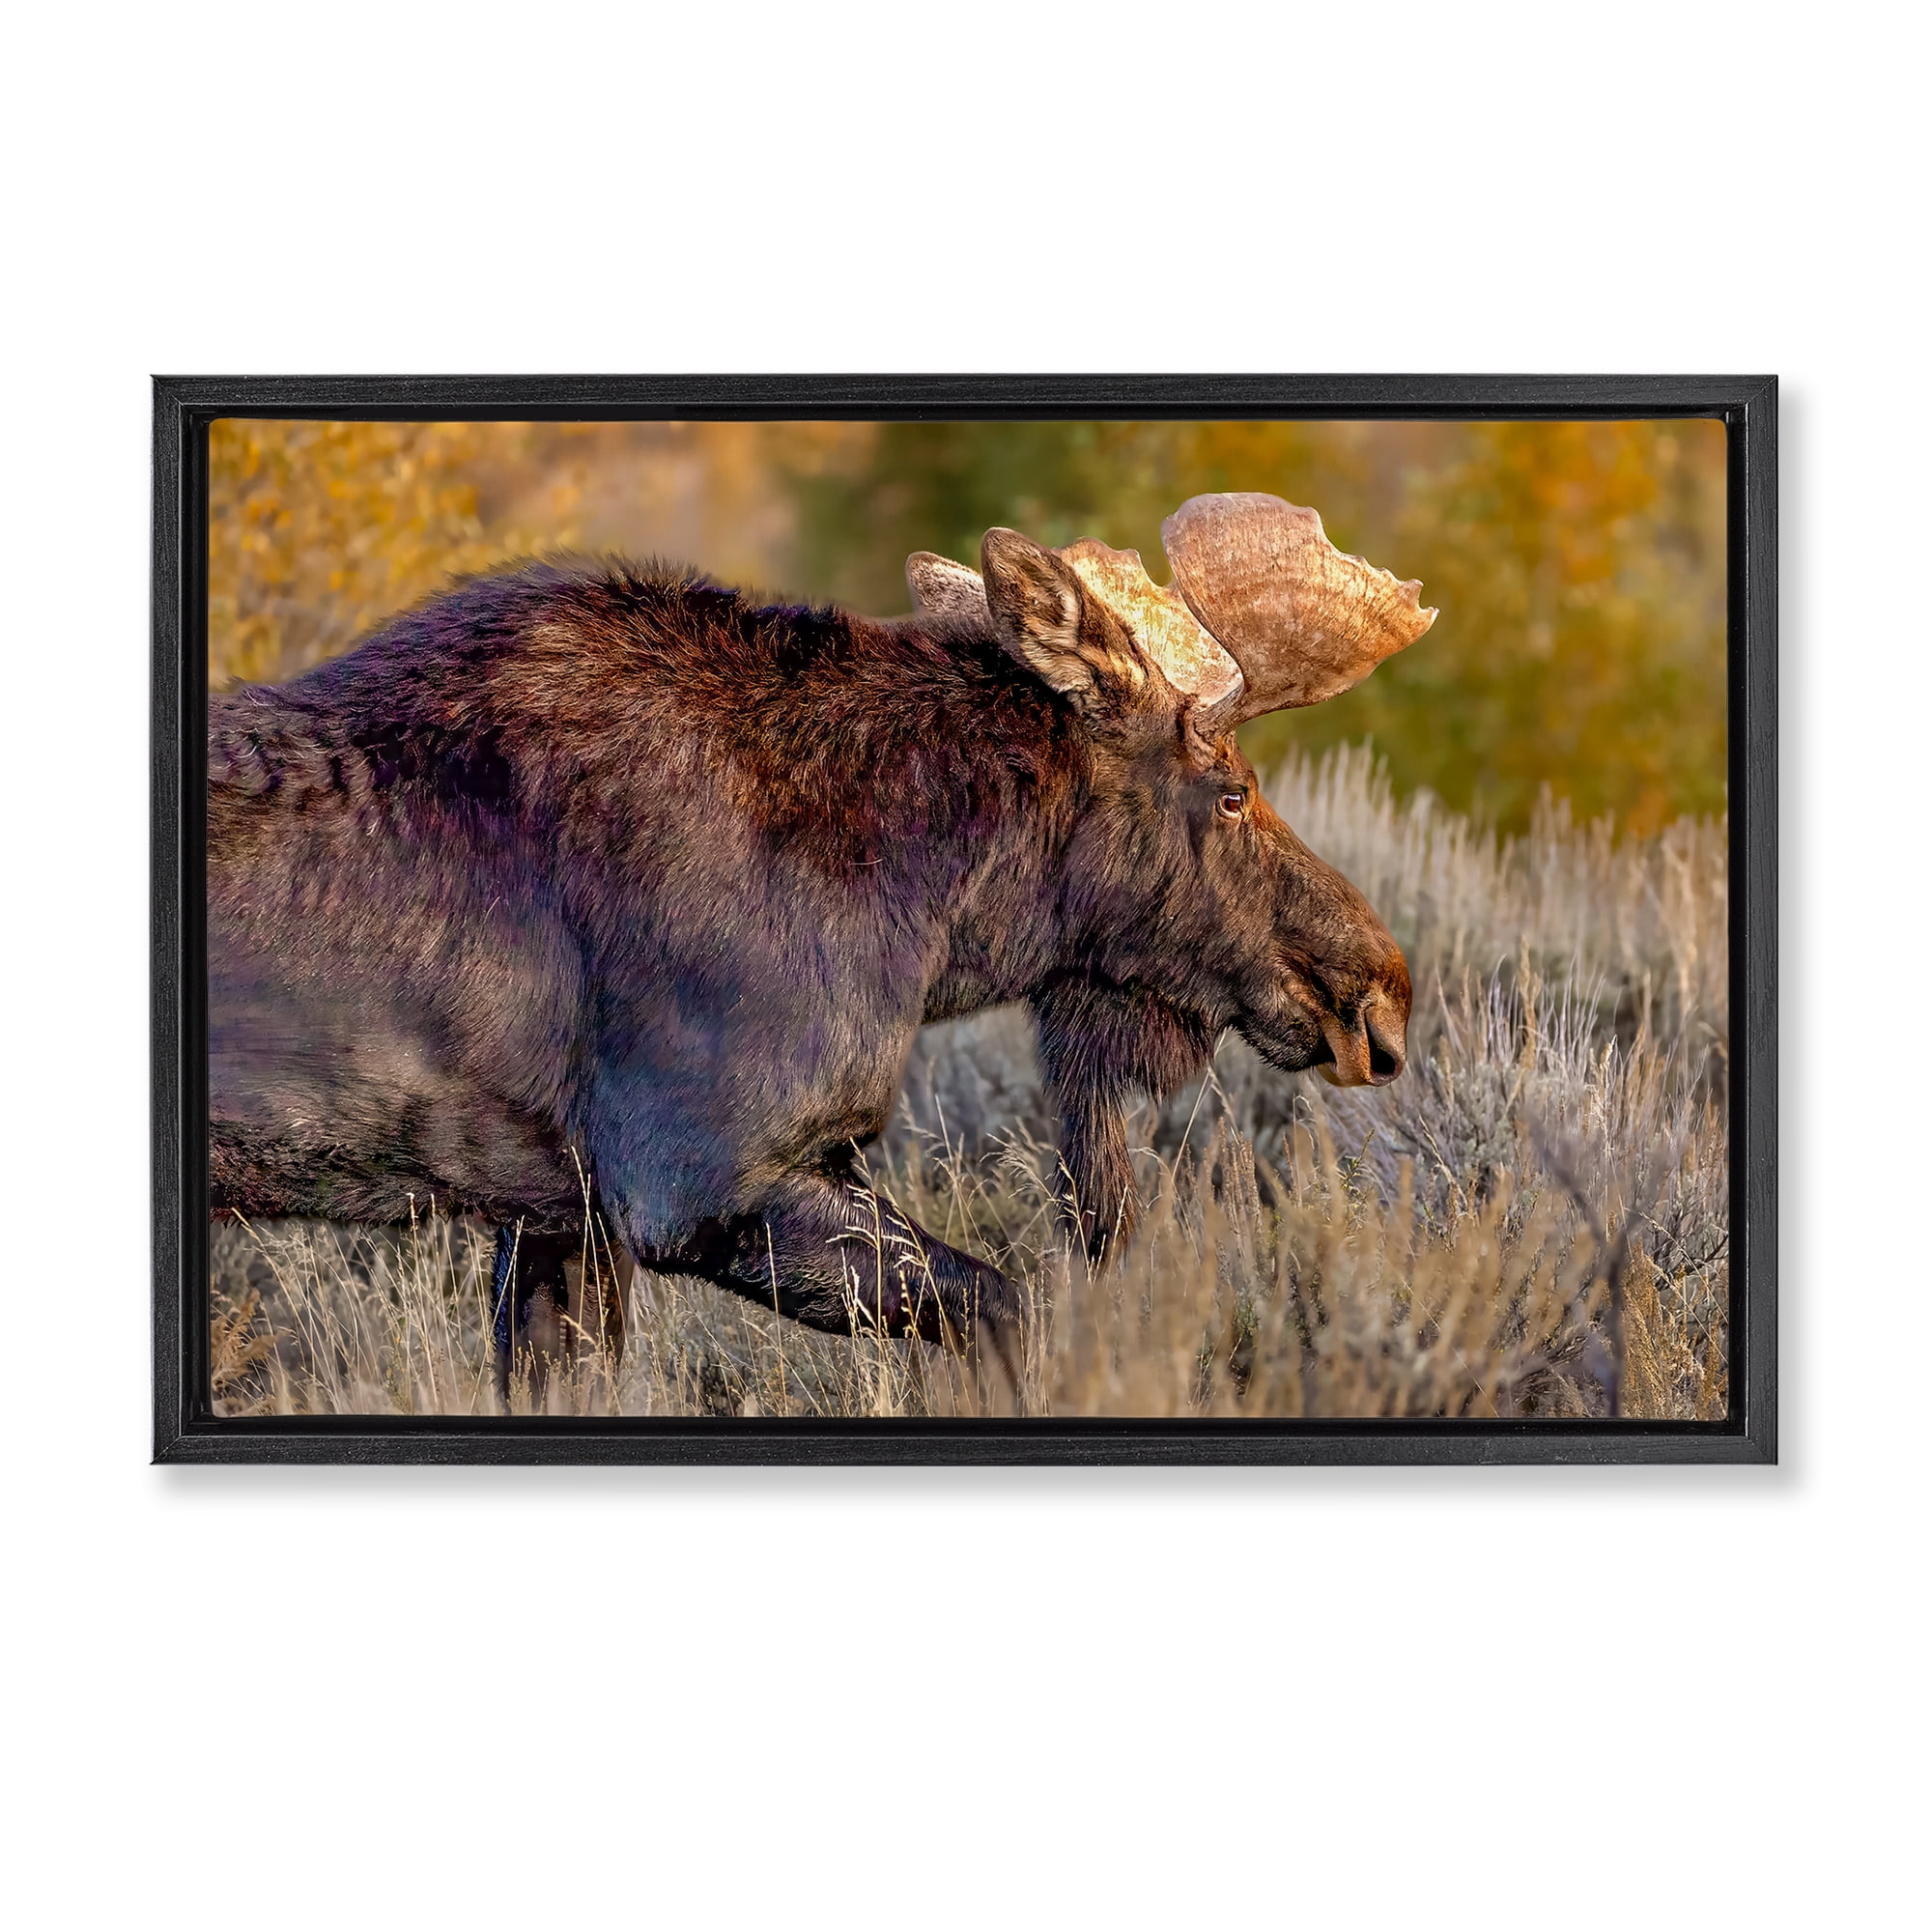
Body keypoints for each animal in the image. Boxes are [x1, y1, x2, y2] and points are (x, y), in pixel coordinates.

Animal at [207, 492, 1433, 1398]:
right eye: (1229, 790)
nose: (1378, 989)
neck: (931, 918)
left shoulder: (559, 1214)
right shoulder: (699, 1177)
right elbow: (1011, 1309)